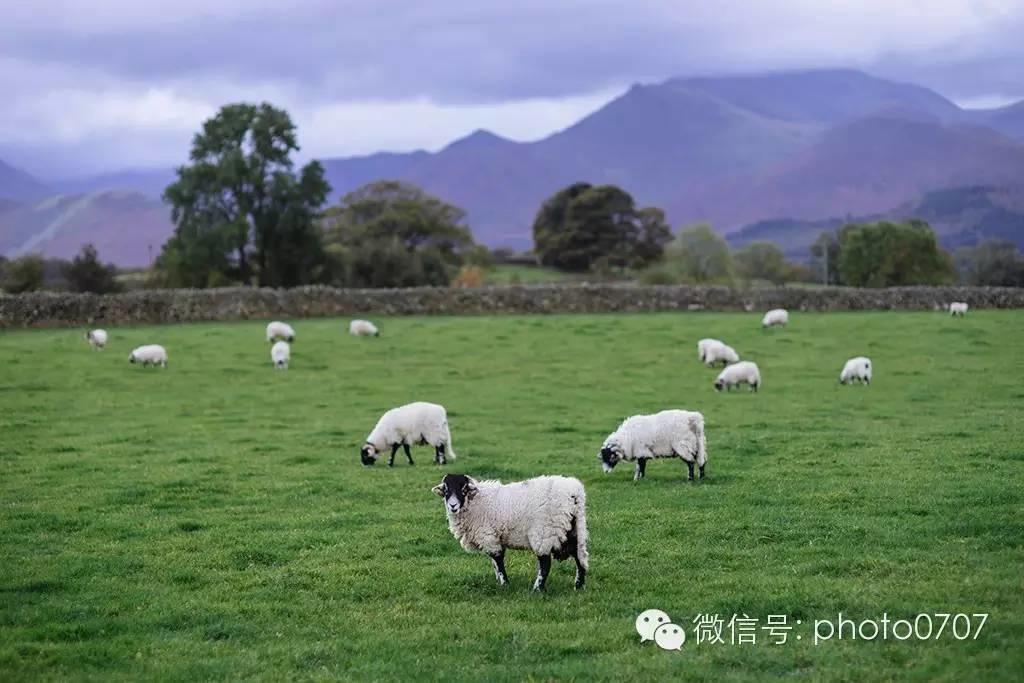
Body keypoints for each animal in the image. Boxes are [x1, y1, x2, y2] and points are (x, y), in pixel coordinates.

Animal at [432, 473, 593, 589]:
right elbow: (494, 563)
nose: (453, 506)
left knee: (545, 563)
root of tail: (575, 493)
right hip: (574, 529)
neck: (475, 502)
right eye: (446, 490)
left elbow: (497, 559)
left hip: (544, 532)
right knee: (580, 557)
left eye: (464, 489)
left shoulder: (489, 536)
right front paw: (499, 581)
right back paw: (579, 586)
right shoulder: (495, 537)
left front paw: (505, 584)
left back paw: (537, 589)